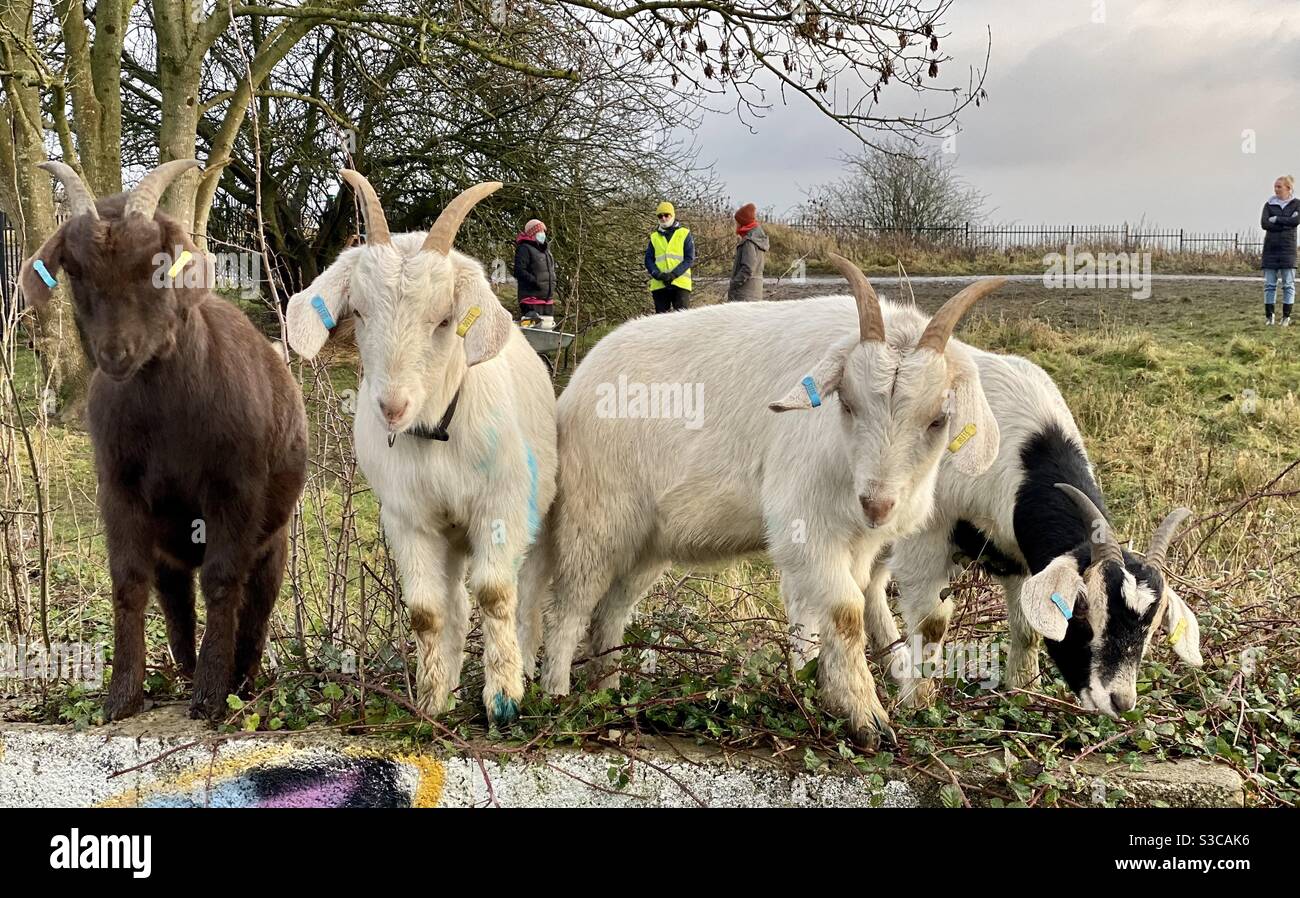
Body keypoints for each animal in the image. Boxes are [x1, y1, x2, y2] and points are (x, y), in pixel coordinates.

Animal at [19, 160, 308, 720]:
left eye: (157, 265)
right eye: (75, 269)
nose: (116, 353)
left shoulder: (234, 487)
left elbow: (223, 580)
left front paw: (212, 697)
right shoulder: (120, 488)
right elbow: (129, 583)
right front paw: (122, 696)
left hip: (275, 540)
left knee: (256, 607)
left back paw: (243, 682)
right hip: (171, 549)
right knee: (176, 604)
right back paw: (188, 671)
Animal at [285, 171, 556, 724]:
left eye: (444, 319)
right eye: (359, 311)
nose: (392, 406)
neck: (437, 432)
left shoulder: (502, 506)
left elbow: (496, 594)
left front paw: (504, 698)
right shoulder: (407, 518)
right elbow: (427, 612)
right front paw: (432, 701)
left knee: (526, 594)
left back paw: (528, 665)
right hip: (448, 536)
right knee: (453, 603)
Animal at [519, 256, 1004, 748]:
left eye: (938, 419)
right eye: (847, 404)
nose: (877, 504)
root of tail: (572, 392)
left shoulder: (858, 544)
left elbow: (841, 615)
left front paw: (826, 695)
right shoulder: (805, 530)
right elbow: (846, 612)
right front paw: (868, 718)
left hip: (648, 543)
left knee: (610, 613)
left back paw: (610, 693)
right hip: (597, 519)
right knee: (570, 607)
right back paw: (558, 697)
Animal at [861, 351, 1202, 716]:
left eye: (1153, 625)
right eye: (1082, 609)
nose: (1119, 700)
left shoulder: (1019, 554)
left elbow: (1027, 628)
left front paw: (1024, 690)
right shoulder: (928, 533)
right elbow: (931, 622)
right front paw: (919, 702)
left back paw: (891, 662)